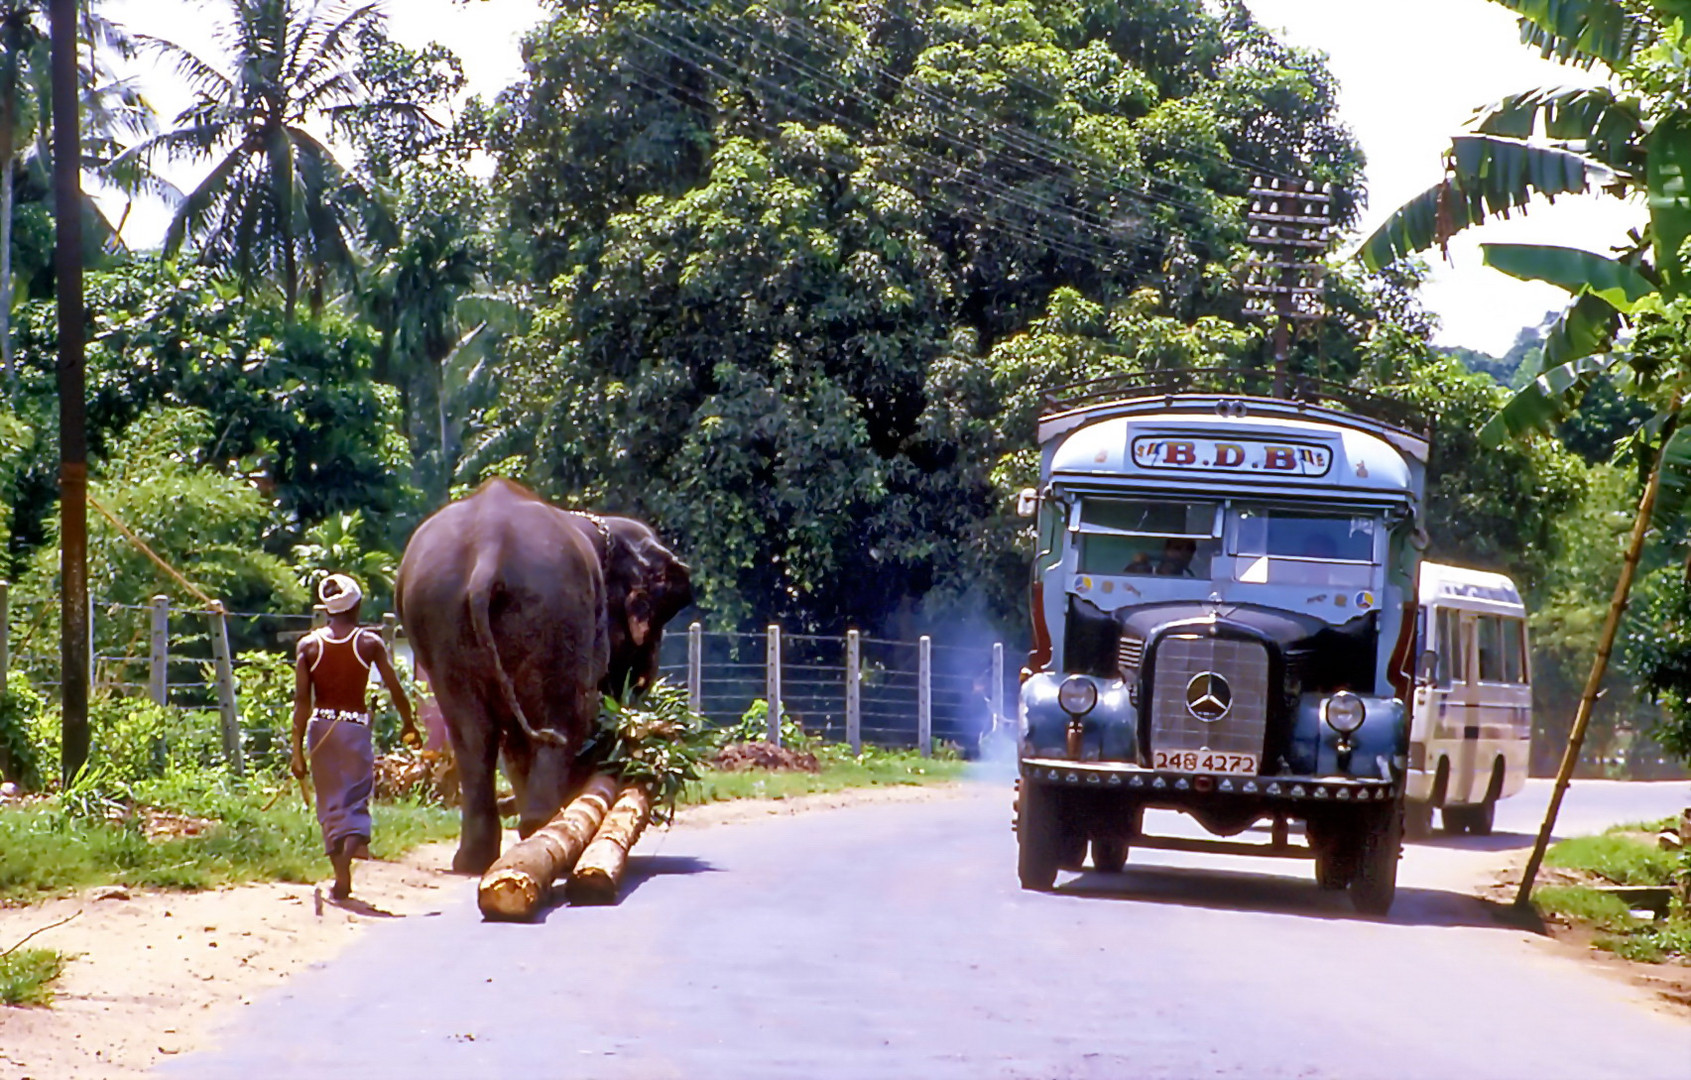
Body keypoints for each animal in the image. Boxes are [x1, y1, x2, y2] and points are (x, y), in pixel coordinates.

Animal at [394, 476, 608, 872]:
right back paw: (541, 831)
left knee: (471, 732)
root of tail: (488, 553)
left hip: (439, 614)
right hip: (555, 613)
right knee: (556, 717)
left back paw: (475, 860)